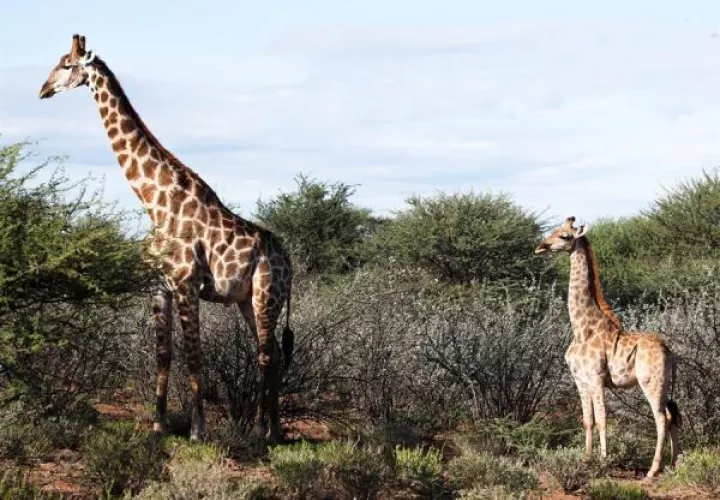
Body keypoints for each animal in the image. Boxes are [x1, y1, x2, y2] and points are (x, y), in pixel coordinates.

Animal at [39, 34, 294, 442]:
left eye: (66, 64)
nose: (43, 90)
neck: (154, 204)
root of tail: (290, 263)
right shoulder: (158, 286)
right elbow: (164, 353)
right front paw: (158, 425)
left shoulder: (187, 284)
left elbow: (194, 355)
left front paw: (197, 430)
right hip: (246, 300)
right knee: (269, 355)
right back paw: (272, 429)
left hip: (266, 295)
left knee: (267, 355)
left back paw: (261, 430)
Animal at [535, 216, 682, 478]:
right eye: (554, 230)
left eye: (564, 236)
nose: (541, 247)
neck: (582, 328)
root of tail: (669, 351)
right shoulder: (580, 379)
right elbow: (587, 419)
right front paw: (585, 460)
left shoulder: (596, 378)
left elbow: (602, 419)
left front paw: (603, 462)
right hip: (665, 385)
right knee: (673, 416)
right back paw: (673, 464)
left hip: (651, 382)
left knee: (661, 418)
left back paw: (652, 471)